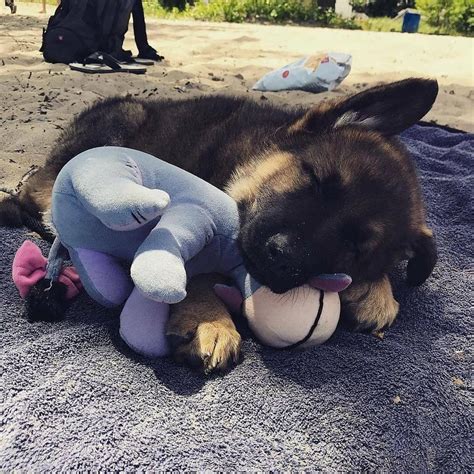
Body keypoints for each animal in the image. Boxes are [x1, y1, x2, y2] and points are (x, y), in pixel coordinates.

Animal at [0, 78, 438, 374]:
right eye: (314, 179)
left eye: (356, 247)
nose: (281, 256)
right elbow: (194, 272)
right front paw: (208, 320)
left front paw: (376, 291)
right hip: (115, 126)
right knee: (39, 192)